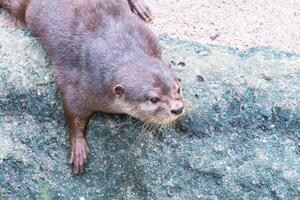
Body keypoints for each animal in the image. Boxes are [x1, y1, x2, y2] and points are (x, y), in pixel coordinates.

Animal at [0, 0, 185, 173]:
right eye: (154, 99)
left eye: (178, 88)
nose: (178, 108)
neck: (114, 45)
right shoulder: (77, 83)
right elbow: (72, 113)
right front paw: (78, 147)